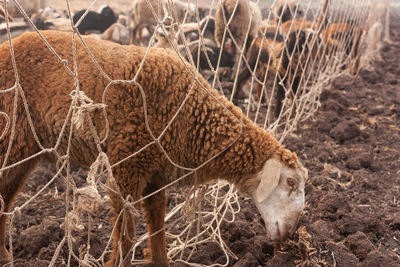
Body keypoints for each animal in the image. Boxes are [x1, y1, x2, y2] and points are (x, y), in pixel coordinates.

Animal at [0, 30, 310, 266]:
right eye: (290, 182)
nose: (290, 233)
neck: (193, 118)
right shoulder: (126, 165)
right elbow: (126, 231)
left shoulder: (156, 176)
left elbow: (157, 223)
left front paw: (160, 260)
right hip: (10, 139)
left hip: (24, 151)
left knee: (5, 199)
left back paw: (4, 255)